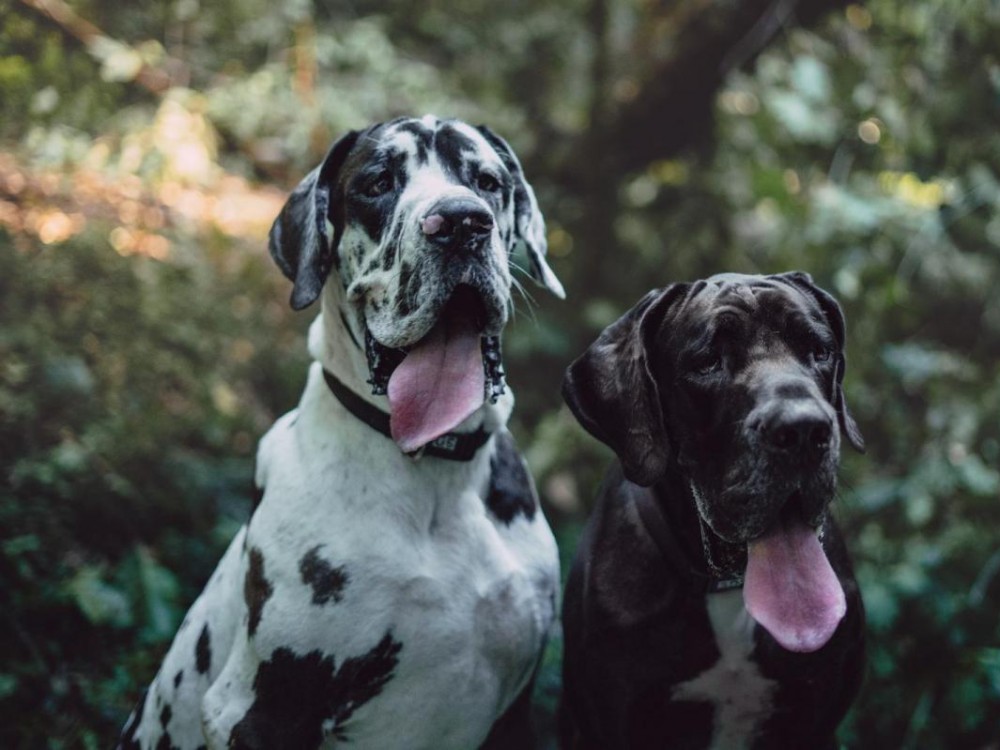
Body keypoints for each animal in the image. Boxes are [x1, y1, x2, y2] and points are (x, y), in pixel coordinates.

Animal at [117, 115, 565, 750]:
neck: (432, 470)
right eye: (377, 182)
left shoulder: (517, 714)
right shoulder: (259, 709)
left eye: (487, 181)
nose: (460, 222)